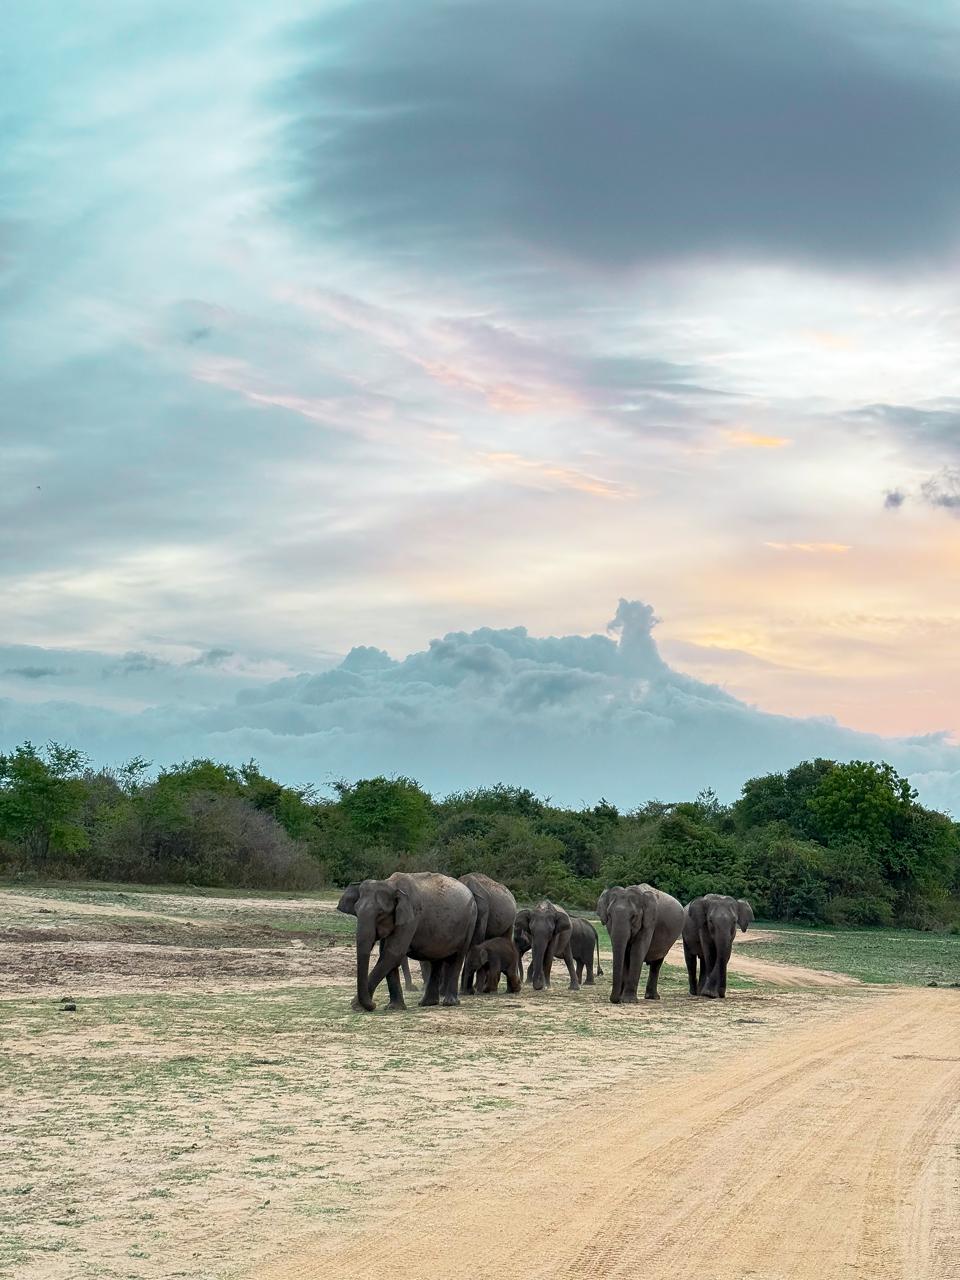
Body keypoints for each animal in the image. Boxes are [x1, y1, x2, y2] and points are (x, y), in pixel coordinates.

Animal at [337, 872, 477, 1012]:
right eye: (356, 911)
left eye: (380, 913)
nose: (374, 1004)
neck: (391, 884)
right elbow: (387, 954)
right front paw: (394, 1007)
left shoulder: (411, 918)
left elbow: (393, 953)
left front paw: (356, 1006)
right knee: (436, 960)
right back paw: (427, 1003)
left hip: (469, 922)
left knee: (458, 958)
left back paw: (449, 1003)